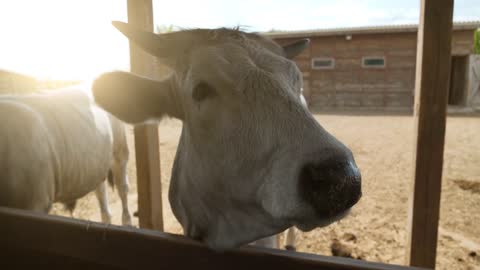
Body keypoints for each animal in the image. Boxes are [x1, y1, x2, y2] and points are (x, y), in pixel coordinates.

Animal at [0, 87, 131, 226]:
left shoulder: (37, 202)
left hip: (120, 151)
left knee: (122, 188)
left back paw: (127, 222)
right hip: (99, 162)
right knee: (101, 193)